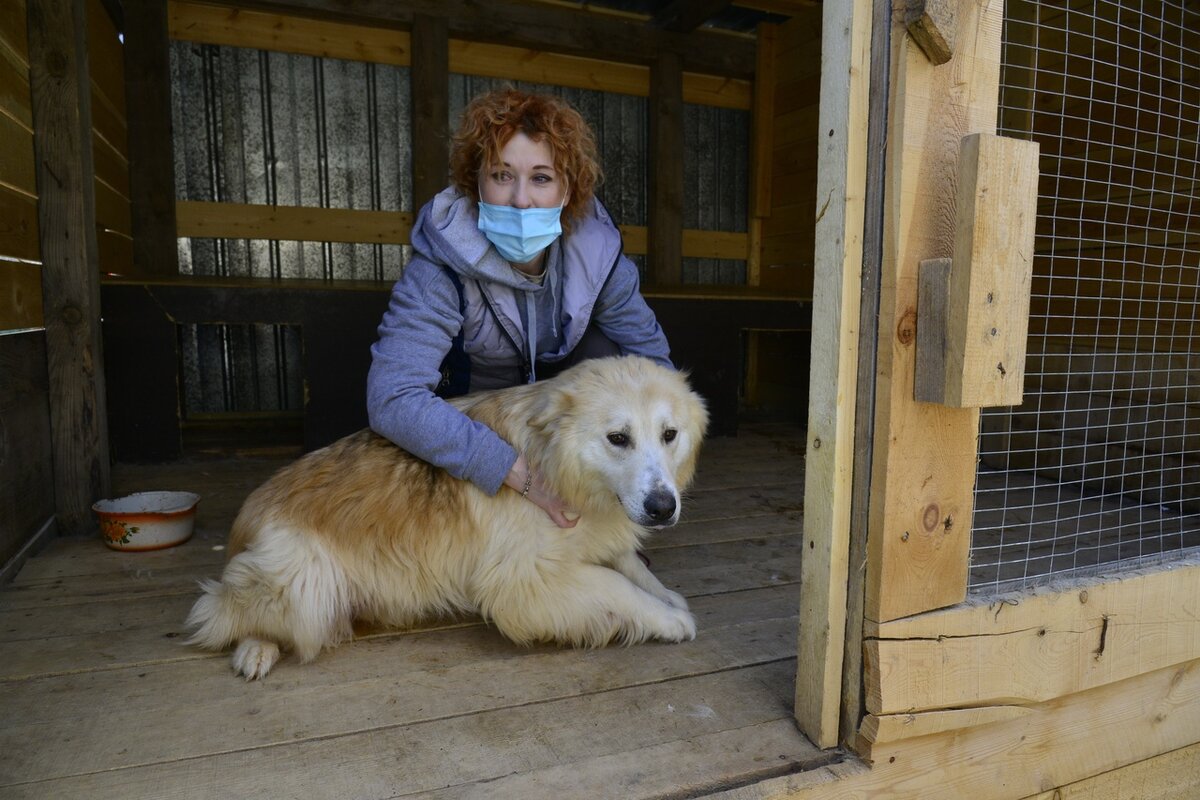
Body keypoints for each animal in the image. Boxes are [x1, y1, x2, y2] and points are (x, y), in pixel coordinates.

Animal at [186, 359, 705, 681]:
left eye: (669, 434)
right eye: (618, 438)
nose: (663, 508)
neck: (555, 463)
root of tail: (250, 509)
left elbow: (631, 567)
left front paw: (667, 597)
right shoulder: (523, 581)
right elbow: (616, 587)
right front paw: (668, 620)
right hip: (304, 580)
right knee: (222, 608)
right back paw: (254, 648)